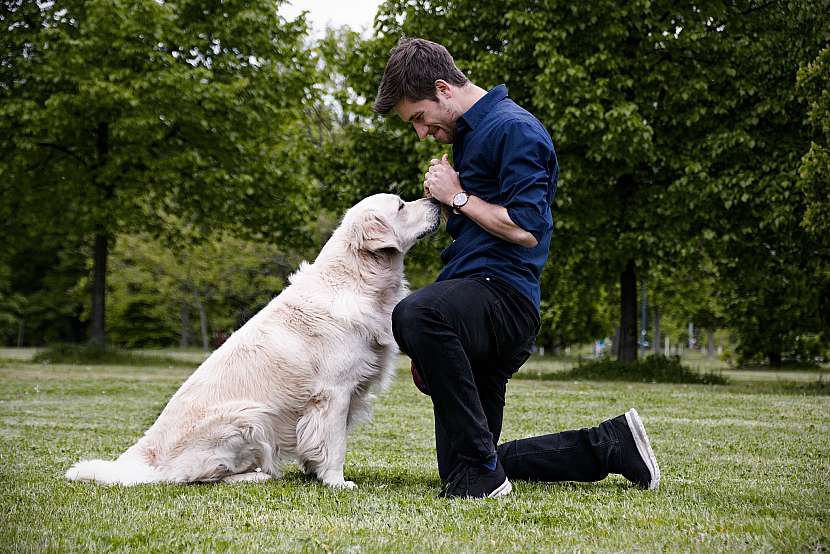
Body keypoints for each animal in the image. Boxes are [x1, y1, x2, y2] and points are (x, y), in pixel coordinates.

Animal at [66, 193, 442, 488]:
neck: (357, 279)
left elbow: (316, 442)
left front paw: (314, 472)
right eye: (401, 205)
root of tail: (146, 459)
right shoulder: (334, 392)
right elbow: (334, 444)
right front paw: (337, 482)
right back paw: (258, 475)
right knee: (196, 477)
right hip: (249, 418)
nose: (437, 201)